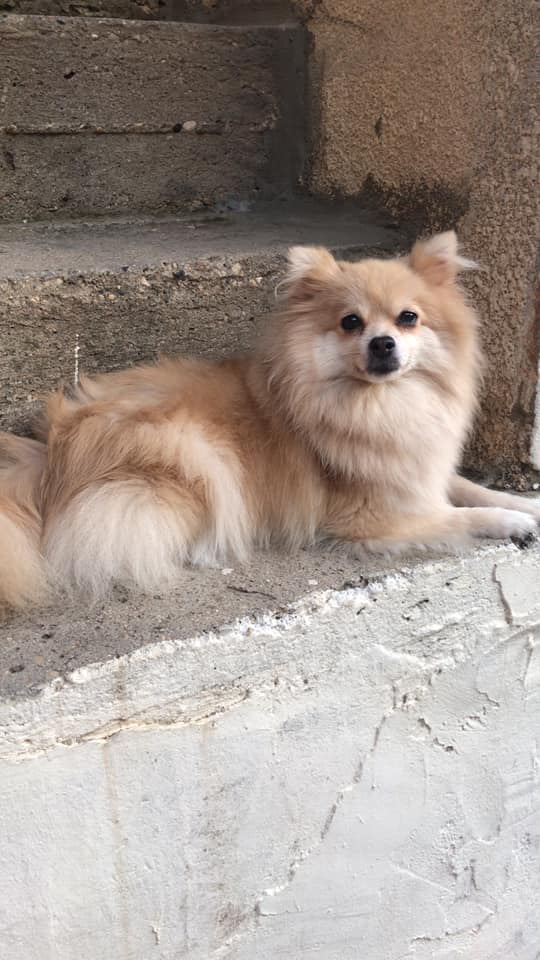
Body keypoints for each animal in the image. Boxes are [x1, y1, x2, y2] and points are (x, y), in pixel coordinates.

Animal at [0, 230, 536, 608]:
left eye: (408, 318)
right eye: (351, 322)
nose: (383, 343)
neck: (381, 403)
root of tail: (50, 454)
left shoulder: (421, 469)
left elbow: (473, 489)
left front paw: (522, 503)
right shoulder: (373, 516)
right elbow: (460, 515)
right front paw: (512, 522)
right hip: (194, 454)